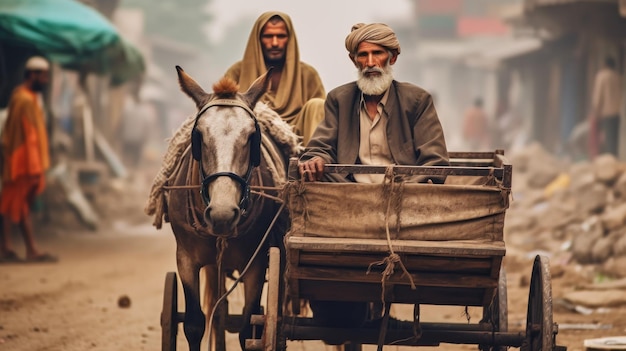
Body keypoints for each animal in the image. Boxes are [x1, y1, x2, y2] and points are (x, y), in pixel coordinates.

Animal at [165, 66, 288, 351]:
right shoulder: (185, 258)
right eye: (198, 136)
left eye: (253, 137)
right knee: (217, 313)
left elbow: (247, 328)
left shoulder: (256, 263)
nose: (222, 214)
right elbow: (195, 324)